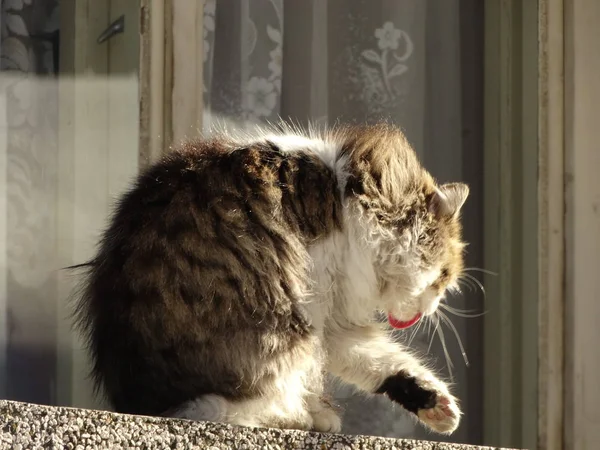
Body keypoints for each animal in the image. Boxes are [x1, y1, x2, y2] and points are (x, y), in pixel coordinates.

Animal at [71, 121, 468, 434]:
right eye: (442, 276)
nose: (433, 307)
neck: (345, 199)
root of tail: (144, 399)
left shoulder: (333, 321)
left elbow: (379, 361)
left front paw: (438, 406)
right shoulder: (313, 305)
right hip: (277, 328)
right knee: (226, 408)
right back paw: (303, 417)